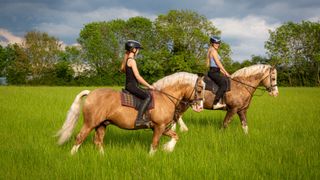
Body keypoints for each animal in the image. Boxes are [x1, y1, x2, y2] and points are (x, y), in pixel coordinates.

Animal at [55, 71, 205, 155]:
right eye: (199, 88)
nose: (200, 107)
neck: (165, 96)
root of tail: (91, 93)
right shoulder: (159, 126)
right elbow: (154, 144)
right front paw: (151, 157)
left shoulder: (161, 127)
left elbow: (175, 136)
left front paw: (168, 149)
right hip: (90, 123)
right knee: (80, 138)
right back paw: (71, 156)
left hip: (102, 124)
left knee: (98, 141)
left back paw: (103, 157)